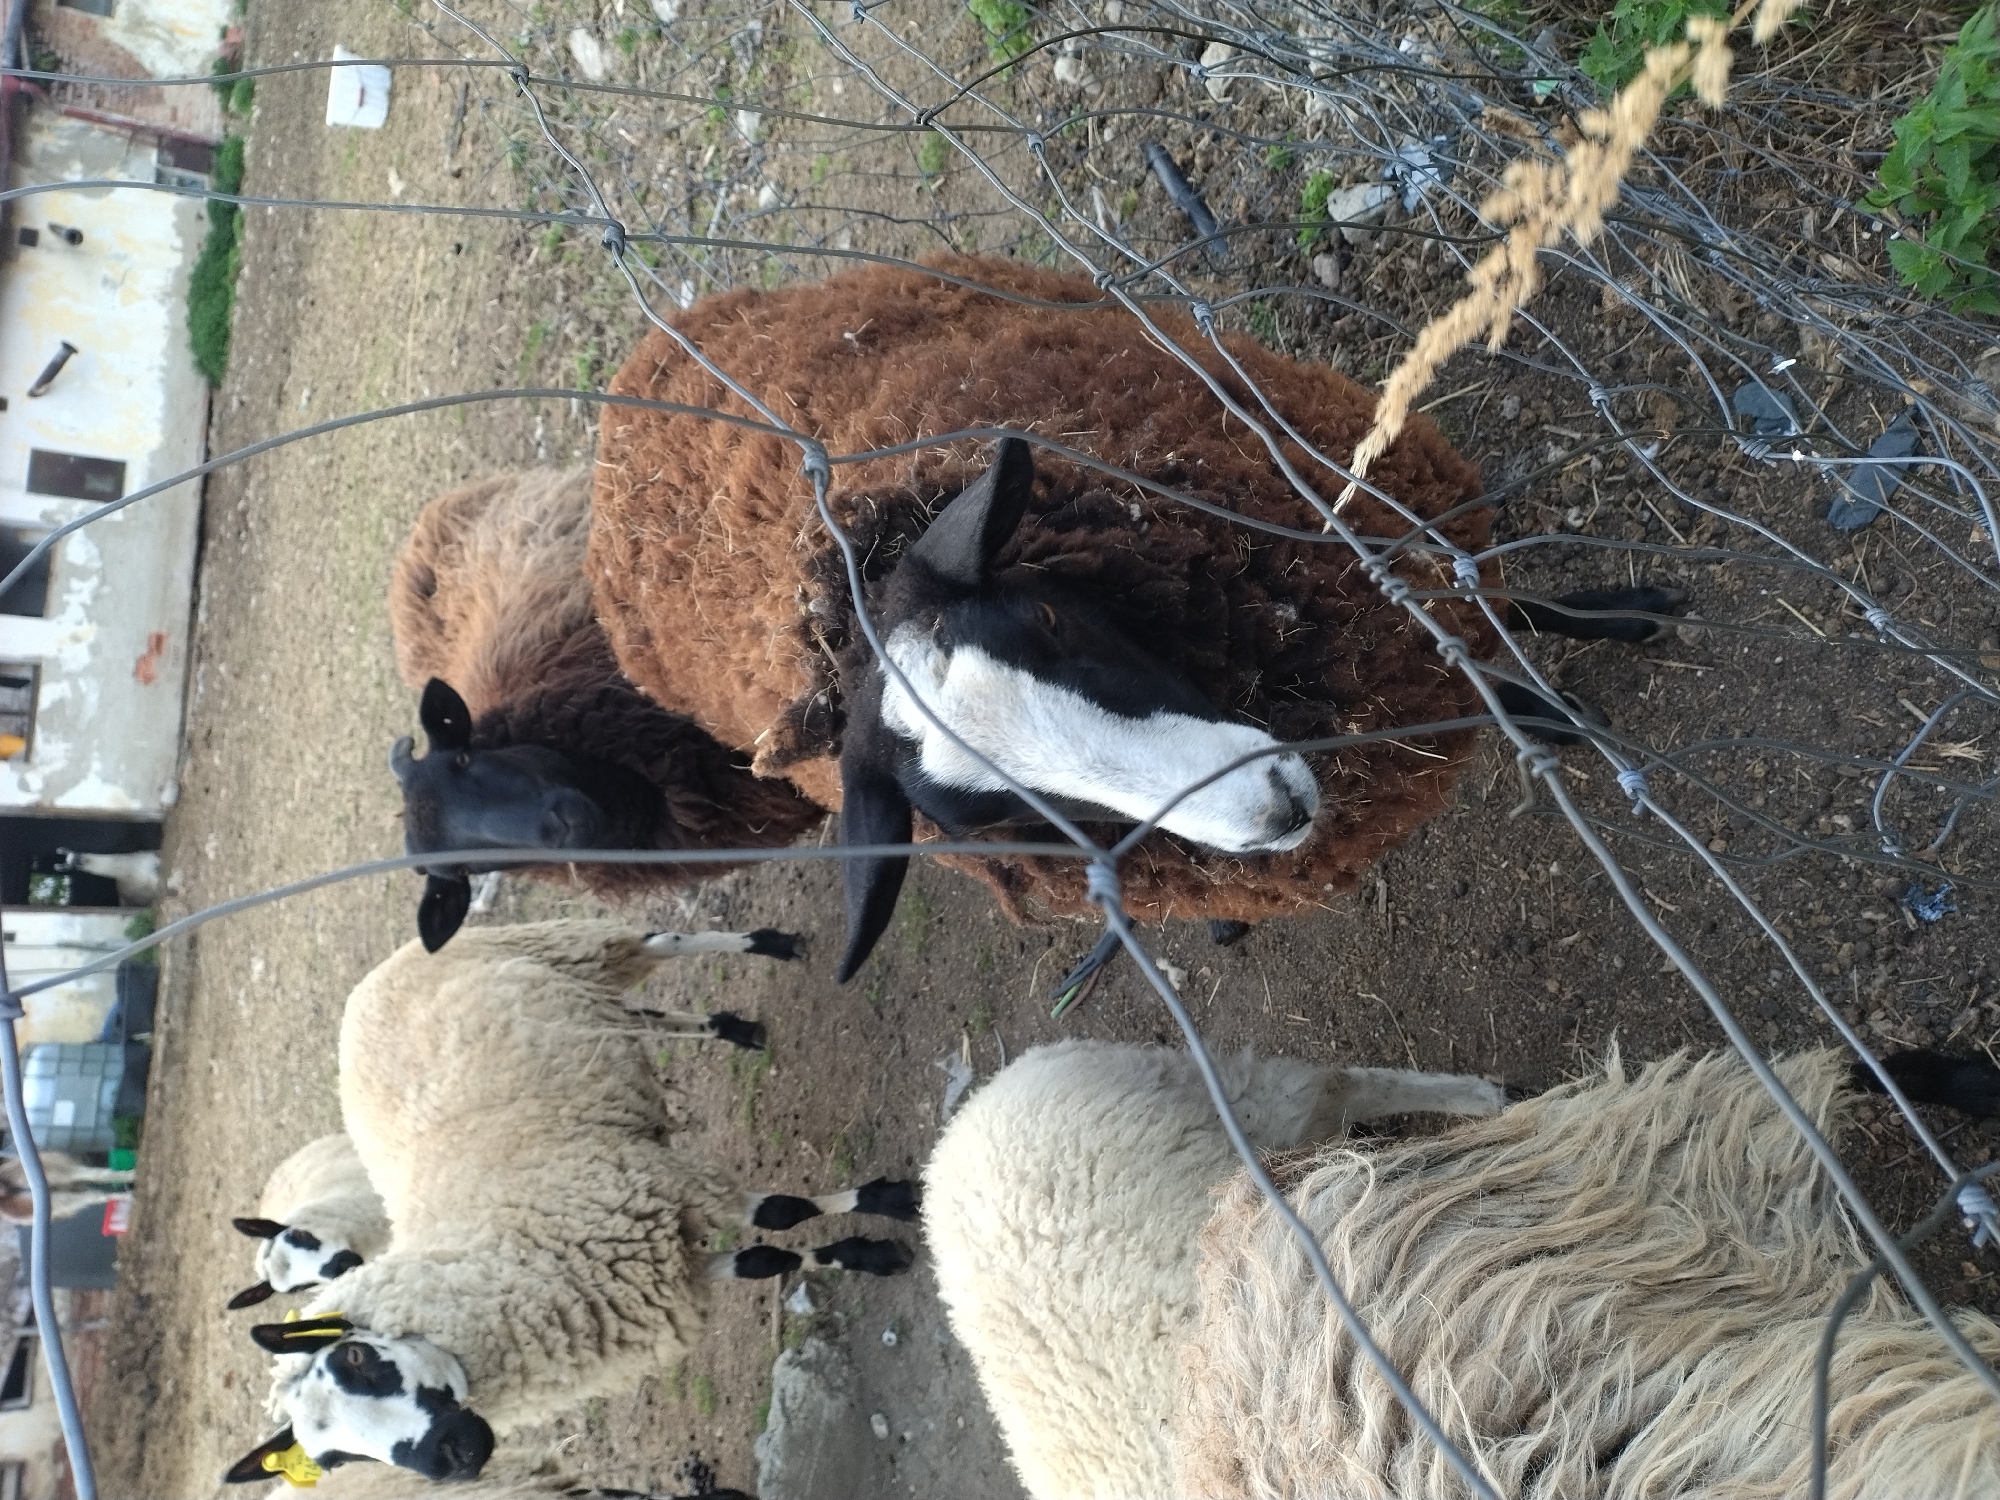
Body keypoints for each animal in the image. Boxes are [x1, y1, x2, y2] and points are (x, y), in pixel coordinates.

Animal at [586, 254, 1681, 981]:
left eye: (1051, 622)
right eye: (1009, 822)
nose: (1274, 811)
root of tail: (620, 396)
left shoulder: (1378, 547)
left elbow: (1497, 612)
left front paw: (1620, 622)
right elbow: (1485, 663)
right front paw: (1548, 715)